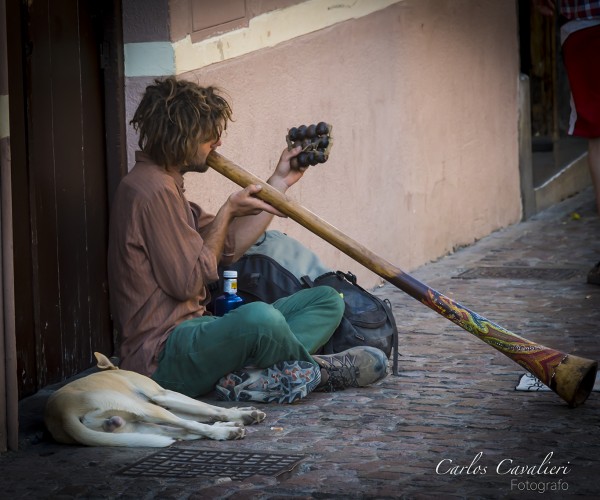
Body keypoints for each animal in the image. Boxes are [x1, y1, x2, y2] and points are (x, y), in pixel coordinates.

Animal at [44, 352, 264, 450]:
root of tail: (60, 415)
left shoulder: (163, 401)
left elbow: (202, 410)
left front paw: (241, 411)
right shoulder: (162, 394)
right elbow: (208, 408)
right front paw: (241, 414)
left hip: (136, 425)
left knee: (183, 431)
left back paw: (226, 428)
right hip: (145, 408)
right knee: (191, 426)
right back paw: (225, 431)